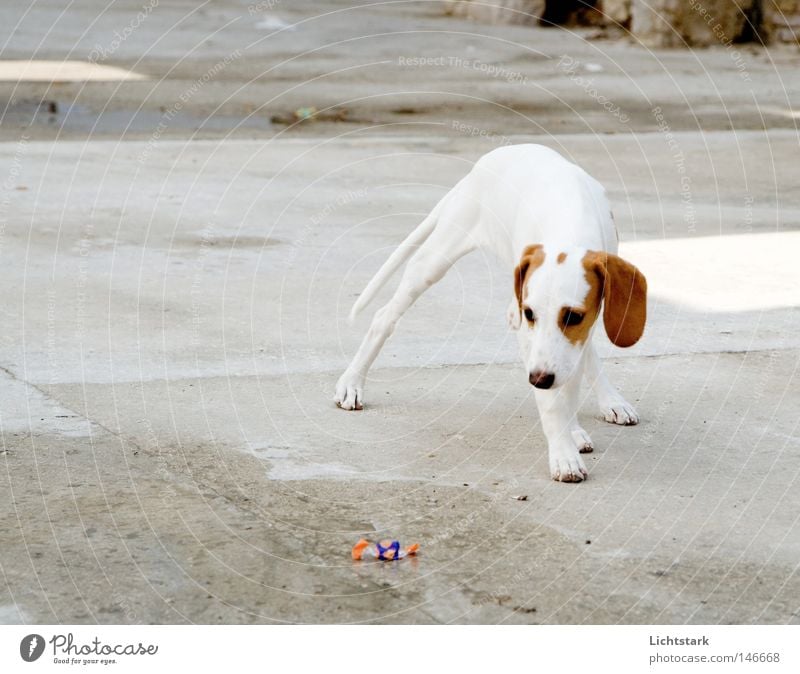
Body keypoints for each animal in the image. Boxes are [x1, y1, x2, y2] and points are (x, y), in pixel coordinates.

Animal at [334, 144, 648, 484]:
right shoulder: (534, 335)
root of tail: (487, 161)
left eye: (573, 316)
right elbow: (552, 401)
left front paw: (572, 430)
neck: (567, 225)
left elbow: (571, 378)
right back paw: (352, 382)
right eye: (531, 313)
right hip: (433, 261)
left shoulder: (579, 330)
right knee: (384, 317)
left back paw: (605, 403)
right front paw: (563, 453)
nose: (537, 379)